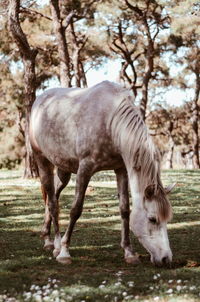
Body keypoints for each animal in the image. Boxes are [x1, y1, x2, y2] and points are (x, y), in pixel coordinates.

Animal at [30, 81, 175, 266]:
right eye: (152, 219)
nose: (166, 259)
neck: (111, 121)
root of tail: (39, 99)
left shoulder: (121, 170)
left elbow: (124, 210)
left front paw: (129, 252)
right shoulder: (85, 169)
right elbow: (75, 210)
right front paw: (64, 252)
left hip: (64, 169)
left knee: (53, 194)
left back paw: (47, 238)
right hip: (42, 161)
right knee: (52, 203)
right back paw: (54, 243)